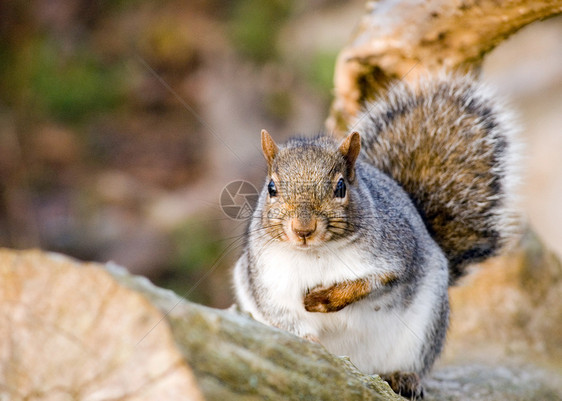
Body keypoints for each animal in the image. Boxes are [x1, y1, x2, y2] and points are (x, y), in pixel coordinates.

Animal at [230, 73, 520, 398]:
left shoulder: (397, 252)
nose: (303, 229)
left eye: (340, 187)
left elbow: (374, 281)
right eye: (271, 188)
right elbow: (286, 319)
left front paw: (327, 298)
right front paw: (310, 344)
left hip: (423, 330)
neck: (316, 254)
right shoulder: (268, 283)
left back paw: (404, 378)